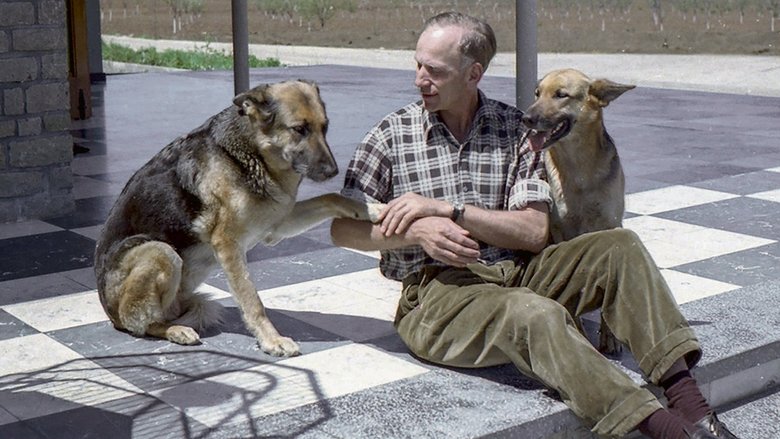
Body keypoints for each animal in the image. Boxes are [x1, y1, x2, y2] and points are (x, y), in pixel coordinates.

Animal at [94, 80, 380, 358]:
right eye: (299, 129)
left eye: (325, 127)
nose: (333, 170)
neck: (254, 154)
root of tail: (110, 312)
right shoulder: (228, 244)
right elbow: (252, 299)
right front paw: (271, 340)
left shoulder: (277, 225)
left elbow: (332, 198)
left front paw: (372, 209)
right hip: (159, 251)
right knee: (140, 323)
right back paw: (175, 330)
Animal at [516, 67, 632, 352]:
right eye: (537, 93)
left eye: (561, 95)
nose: (526, 118)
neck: (580, 170)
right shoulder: (559, 230)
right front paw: (577, 328)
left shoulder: (611, 224)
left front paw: (610, 335)